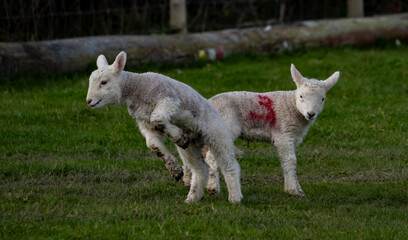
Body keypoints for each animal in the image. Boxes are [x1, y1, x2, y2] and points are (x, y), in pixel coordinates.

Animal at [84, 51, 241, 203]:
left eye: (104, 82)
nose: (89, 101)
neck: (137, 88)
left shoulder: (168, 100)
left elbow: (157, 118)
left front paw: (177, 135)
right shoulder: (145, 123)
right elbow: (153, 144)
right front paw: (175, 170)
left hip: (216, 133)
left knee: (229, 165)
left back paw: (235, 198)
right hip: (190, 147)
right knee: (201, 168)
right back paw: (192, 198)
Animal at [185, 64, 338, 197]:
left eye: (322, 99)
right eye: (301, 96)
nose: (311, 114)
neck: (292, 107)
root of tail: (208, 103)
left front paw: (294, 187)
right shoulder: (283, 135)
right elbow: (290, 161)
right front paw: (294, 190)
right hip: (224, 127)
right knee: (212, 157)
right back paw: (213, 188)